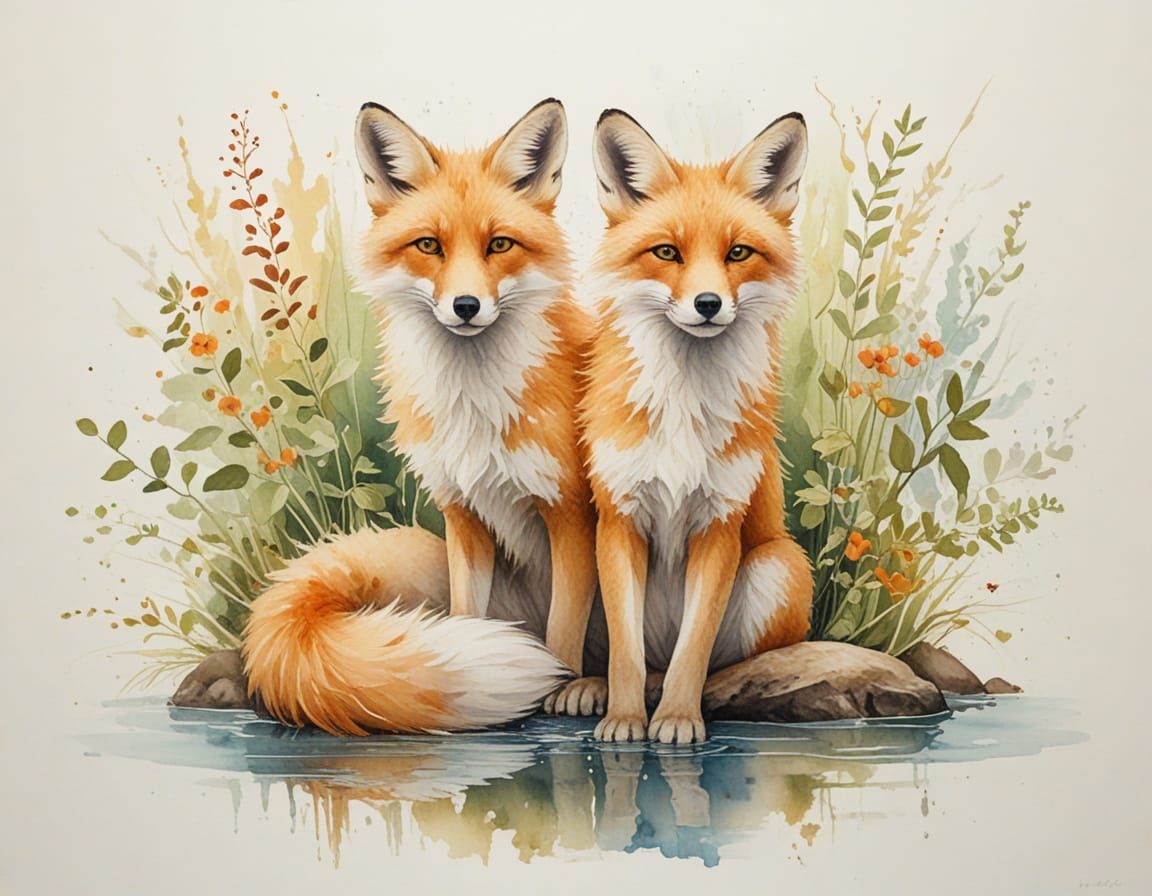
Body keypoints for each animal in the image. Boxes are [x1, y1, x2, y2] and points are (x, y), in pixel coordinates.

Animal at [243, 99, 606, 735]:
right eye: (429, 245)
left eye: (499, 245)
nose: (466, 307)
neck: (477, 407)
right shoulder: (464, 514)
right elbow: (466, 614)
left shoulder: (571, 514)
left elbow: (565, 624)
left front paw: (559, 687)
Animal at [580, 109, 815, 744]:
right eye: (667, 252)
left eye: (738, 253)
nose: (708, 304)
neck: (682, 411)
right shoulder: (619, 518)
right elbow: (626, 654)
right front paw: (624, 719)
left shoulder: (720, 525)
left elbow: (695, 649)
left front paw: (679, 719)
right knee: (633, 659)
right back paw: (587, 688)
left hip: (778, 566)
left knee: (711, 665)